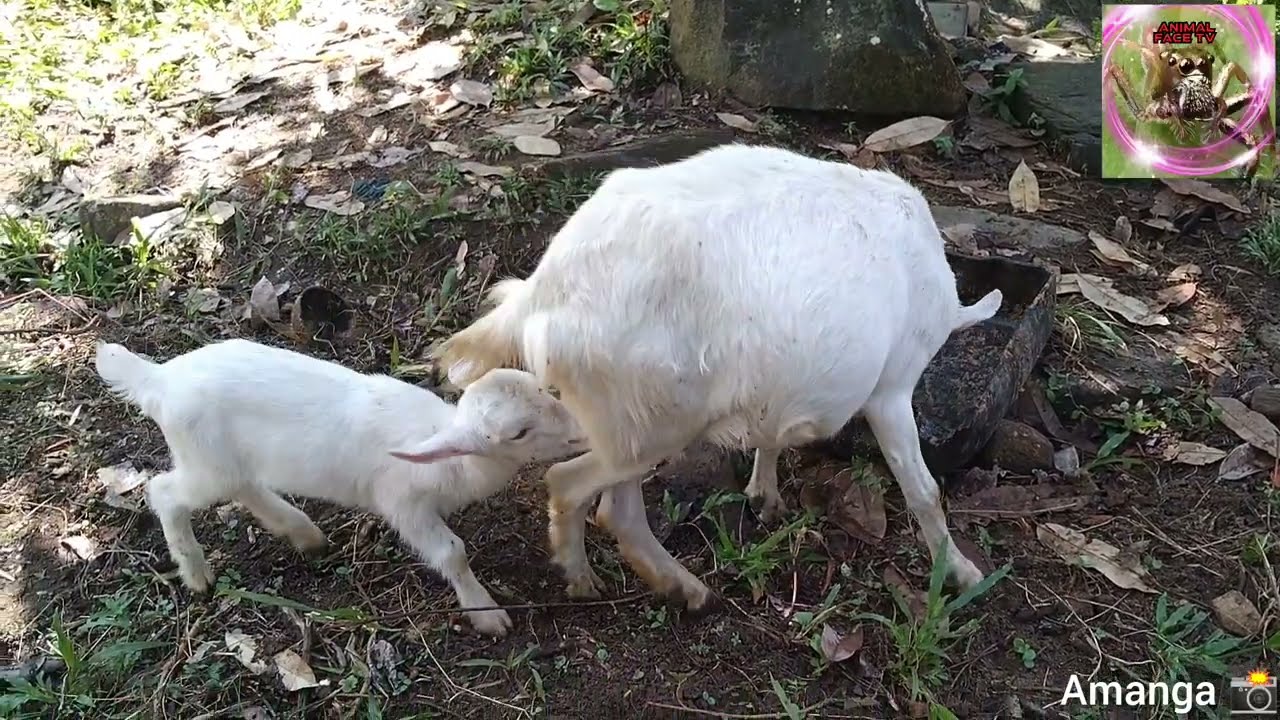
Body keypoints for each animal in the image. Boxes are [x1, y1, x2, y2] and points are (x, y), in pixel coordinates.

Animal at [95, 338, 585, 636]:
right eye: (518, 433)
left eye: (542, 389)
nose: (581, 431)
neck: (453, 456)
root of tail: (157, 379)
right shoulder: (404, 504)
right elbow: (452, 553)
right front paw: (486, 612)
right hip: (203, 462)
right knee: (164, 492)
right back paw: (196, 574)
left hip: (222, 462)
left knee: (246, 487)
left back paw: (303, 533)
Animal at [411, 143, 1002, 610]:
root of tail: (542, 291)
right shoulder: (892, 387)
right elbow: (923, 489)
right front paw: (962, 572)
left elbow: (771, 433)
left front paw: (765, 494)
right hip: (656, 421)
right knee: (572, 485)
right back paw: (612, 581)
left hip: (629, 417)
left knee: (612, 506)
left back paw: (665, 584)